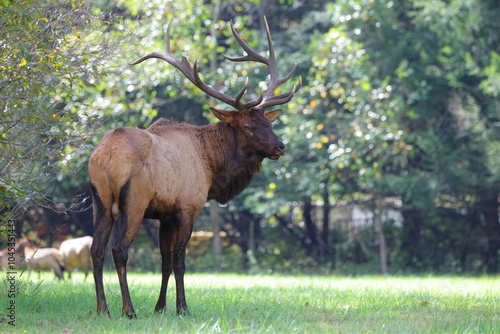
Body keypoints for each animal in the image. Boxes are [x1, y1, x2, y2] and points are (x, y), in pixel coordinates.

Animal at [89, 16, 300, 318]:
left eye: (268, 123)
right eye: (248, 126)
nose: (279, 147)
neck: (212, 166)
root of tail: (105, 156)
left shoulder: (165, 215)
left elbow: (165, 261)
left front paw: (160, 307)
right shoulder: (187, 207)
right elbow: (179, 260)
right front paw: (182, 307)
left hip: (100, 201)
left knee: (96, 249)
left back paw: (102, 309)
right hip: (134, 202)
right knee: (119, 249)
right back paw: (128, 310)